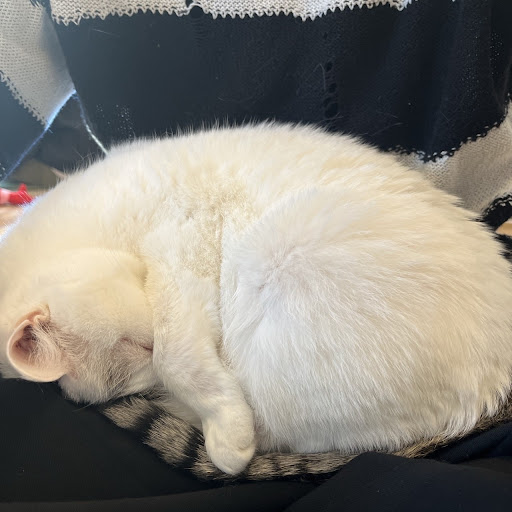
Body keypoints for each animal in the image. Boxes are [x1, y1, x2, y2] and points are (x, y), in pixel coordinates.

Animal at [1, 123, 512, 477]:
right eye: (134, 348)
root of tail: (496, 385)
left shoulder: (182, 248)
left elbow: (177, 359)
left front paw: (226, 435)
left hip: (280, 264)